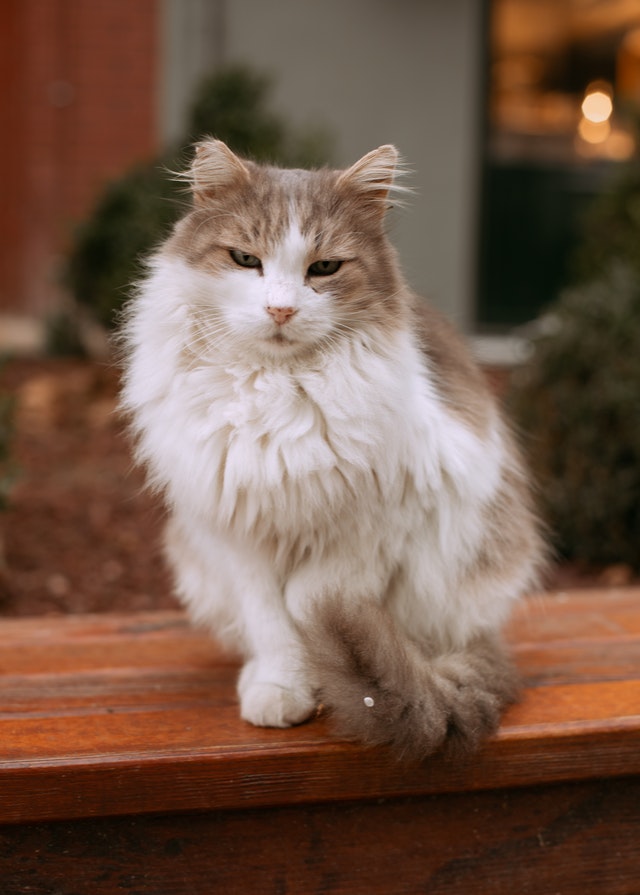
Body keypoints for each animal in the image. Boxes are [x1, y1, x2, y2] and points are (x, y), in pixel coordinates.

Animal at [119, 140, 540, 764]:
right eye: (245, 259)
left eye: (323, 268)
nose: (280, 310)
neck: (275, 391)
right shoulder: (240, 534)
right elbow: (273, 626)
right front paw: (282, 688)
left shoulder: (367, 534)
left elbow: (308, 605)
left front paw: (327, 684)